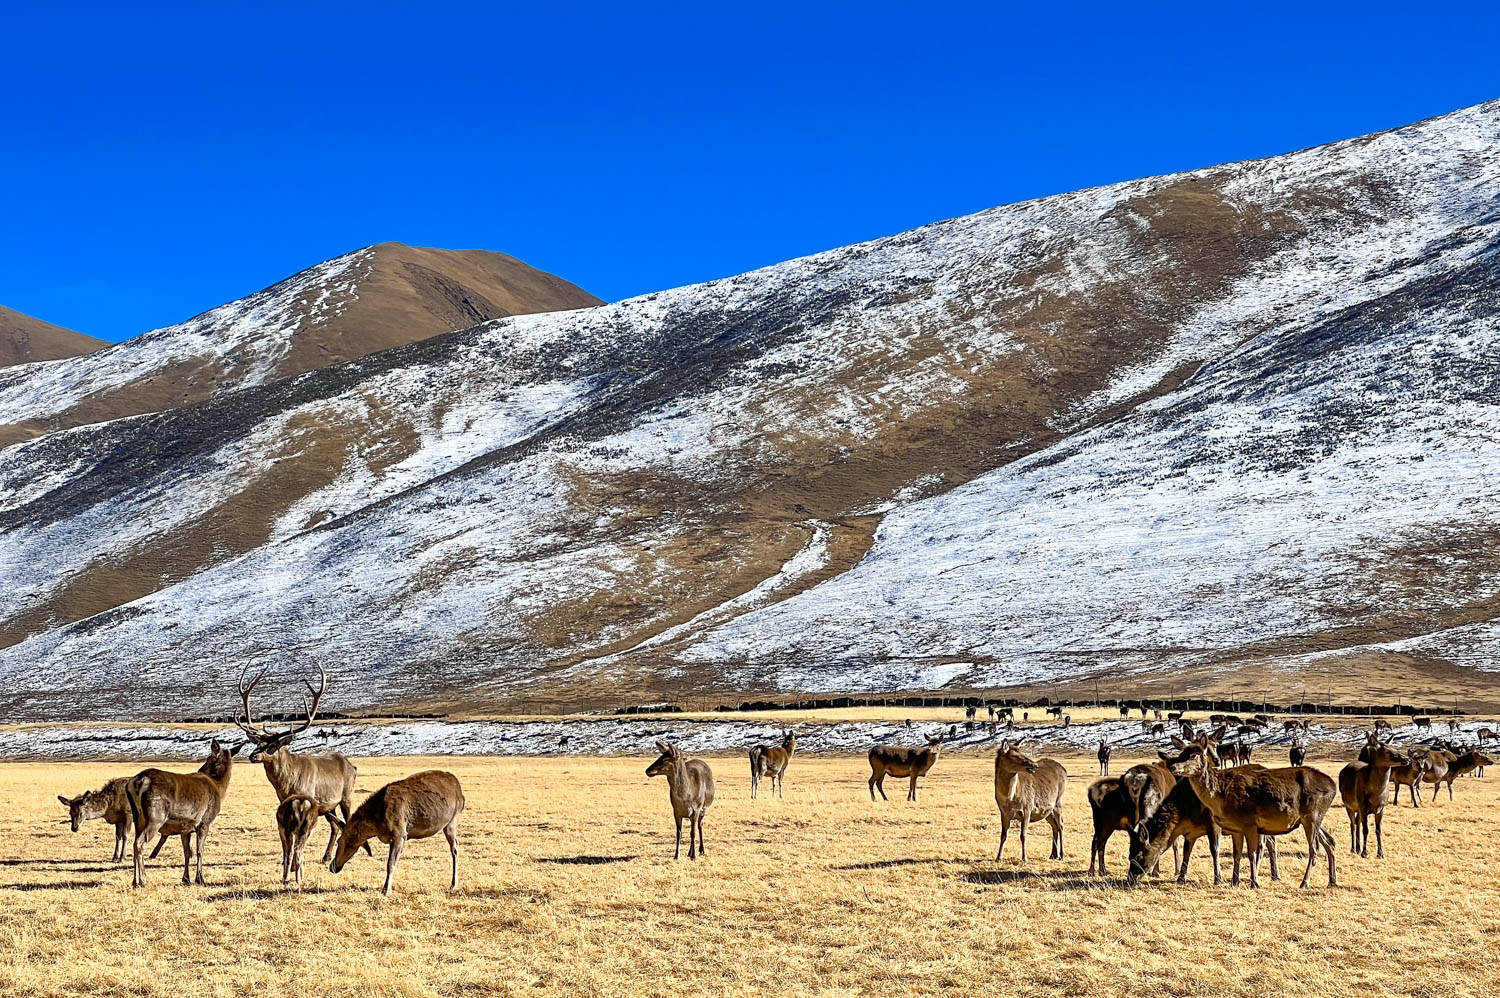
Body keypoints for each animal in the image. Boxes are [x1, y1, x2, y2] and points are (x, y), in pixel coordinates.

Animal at [126, 738, 234, 888]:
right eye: (208, 757)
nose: (200, 770)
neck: (219, 787)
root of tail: (139, 780)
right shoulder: (205, 821)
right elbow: (200, 851)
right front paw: (200, 879)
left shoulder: (185, 827)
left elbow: (187, 852)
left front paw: (186, 879)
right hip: (155, 817)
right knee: (139, 843)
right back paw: (143, 880)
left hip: (137, 818)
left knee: (134, 843)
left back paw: (134, 881)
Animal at [231, 660, 369, 864]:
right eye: (257, 742)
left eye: (273, 745)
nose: (253, 756)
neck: (287, 783)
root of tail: (353, 766)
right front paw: (285, 860)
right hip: (329, 805)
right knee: (336, 825)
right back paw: (326, 856)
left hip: (346, 795)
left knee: (347, 820)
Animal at [328, 765, 462, 888]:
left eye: (340, 841)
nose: (332, 866)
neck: (376, 823)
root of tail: (458, 786)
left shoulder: (399, 835)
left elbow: (390, 864)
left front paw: (386, 889)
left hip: (452, 819)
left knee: (454, 848)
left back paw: (454, 883)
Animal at [1188, 762, 1344, 888]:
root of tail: (1333, 787)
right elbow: (1238, 853)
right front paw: (1235, 881)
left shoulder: (1248, 825)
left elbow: (1251, 852)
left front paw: (1251, 881)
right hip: (1312, 820)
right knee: (1330, 841)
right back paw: (1332, 880)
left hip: (1312, 816)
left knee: (1314, 848)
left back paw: (1304, 882)